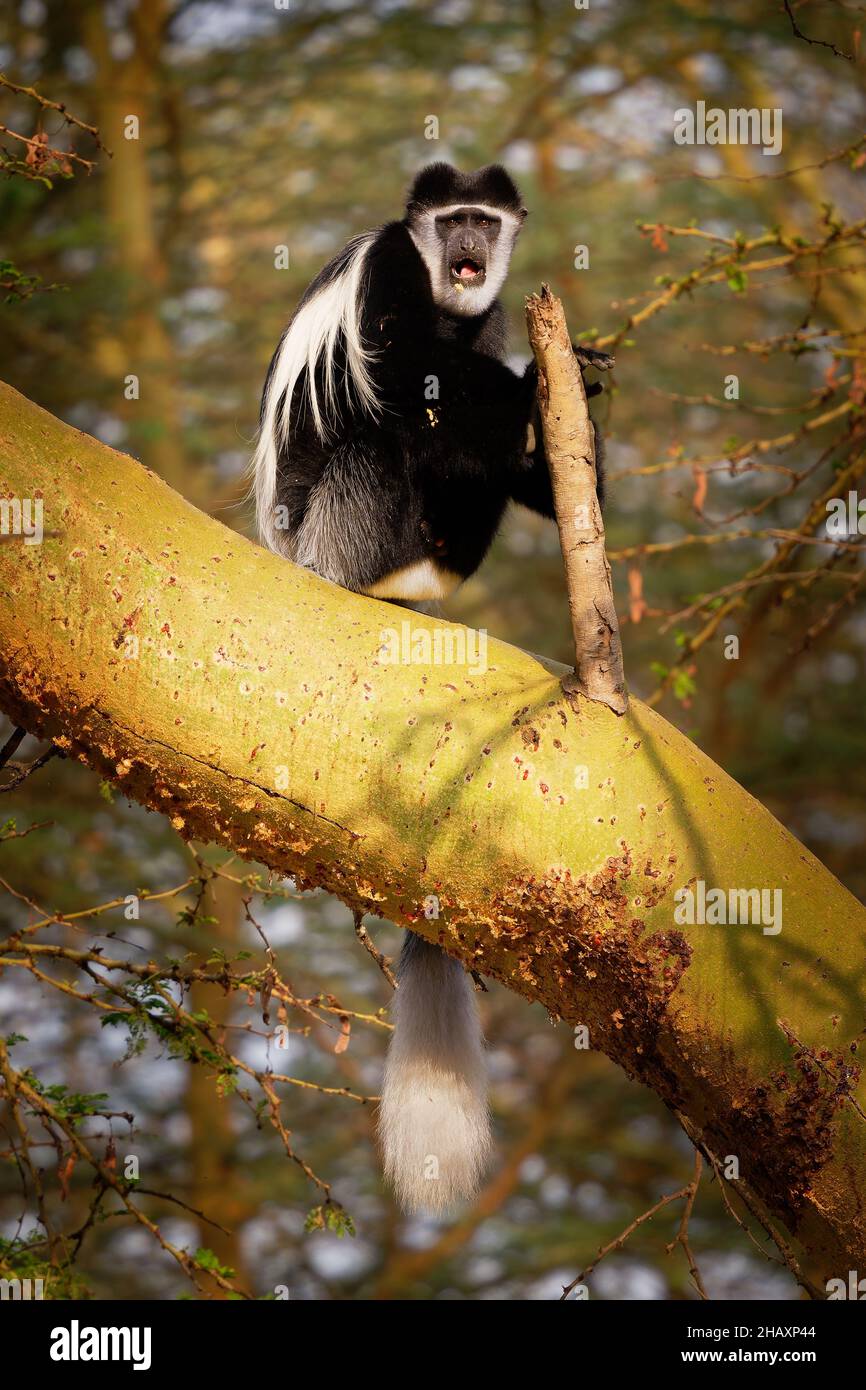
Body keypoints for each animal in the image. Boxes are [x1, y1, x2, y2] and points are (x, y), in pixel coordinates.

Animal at [254, 159, 614, 1206]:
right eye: (451, 219)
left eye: (484, 223)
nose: (469, 246)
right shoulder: (385, 273)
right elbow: (408, 369)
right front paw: (544, 377)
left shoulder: (482, 318)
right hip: (335, 527)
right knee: (390, 432)